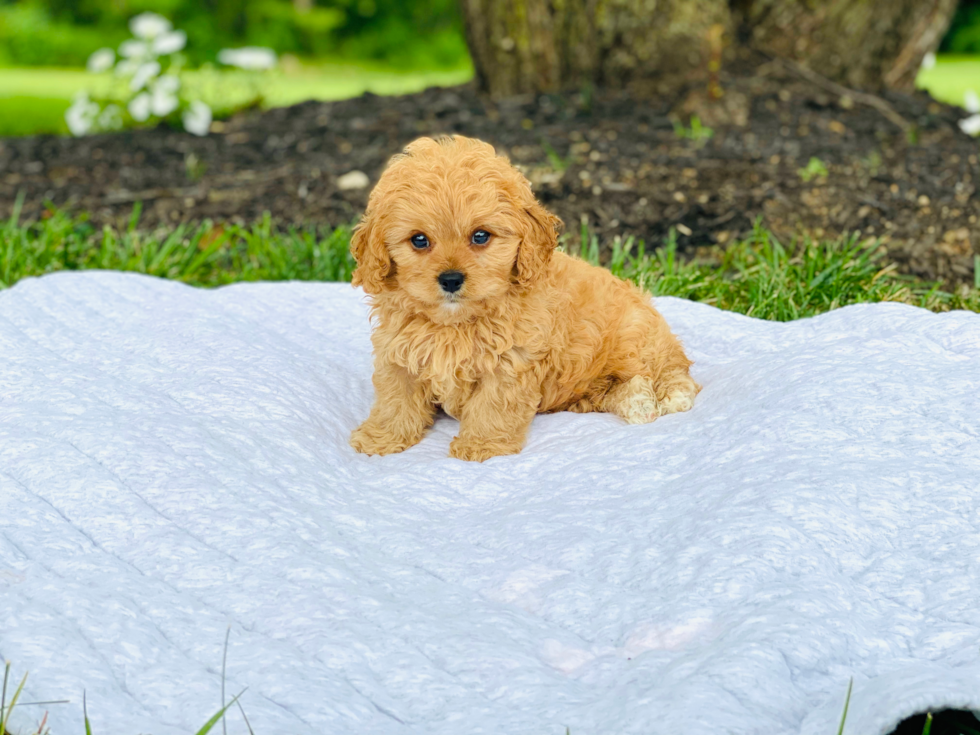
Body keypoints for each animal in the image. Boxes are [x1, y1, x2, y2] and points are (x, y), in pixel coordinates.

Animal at [348, 135, 700, 462]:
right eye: (419, 240)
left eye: (480, 236)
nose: (450, 279)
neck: (454, 324)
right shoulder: (398, 353)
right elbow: (396, 399)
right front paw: (381, 438)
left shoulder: (510, 362)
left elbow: (492, 406)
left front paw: (481, 446)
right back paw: (637, 402)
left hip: (636, 337)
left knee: (673, 370)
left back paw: (668, 398)